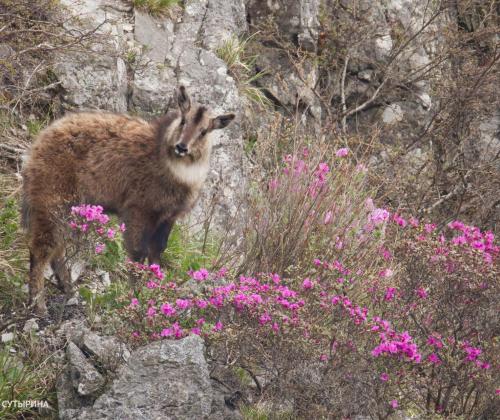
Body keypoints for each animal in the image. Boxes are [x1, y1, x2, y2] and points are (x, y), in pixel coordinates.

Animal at [21, 86, 235, 316]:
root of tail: (37, 145)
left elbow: (157, 253)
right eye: (183, 121)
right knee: (41, 248)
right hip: (52, 201)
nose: (182, 147)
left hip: (70, 209)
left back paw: (69, 289)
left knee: (58, 249)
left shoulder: (168, 218)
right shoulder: (138, 211)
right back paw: (39, 304)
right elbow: (138, 252)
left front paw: (155, 288)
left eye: (204, 131)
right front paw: (136, 294)